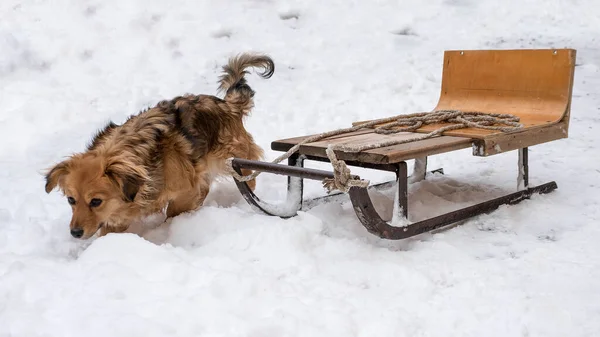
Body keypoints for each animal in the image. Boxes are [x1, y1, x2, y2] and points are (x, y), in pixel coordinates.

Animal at [43, 52, 274, 239]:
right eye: (71, 200)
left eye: (96, 201)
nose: (75, 233)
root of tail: (227, 105)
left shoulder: (185, 189)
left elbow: (174, 211)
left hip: (235, 158)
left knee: (248, 181)